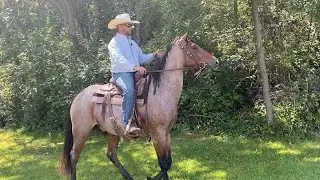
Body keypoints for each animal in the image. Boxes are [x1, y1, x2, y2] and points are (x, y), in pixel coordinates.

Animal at [58, 33, 218, 179]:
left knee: (111, 154)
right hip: (81, 132)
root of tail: (77, 97)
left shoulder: (166, 133)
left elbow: (168, 162)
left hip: (110, 132)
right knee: (74, 156)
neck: (161, 92)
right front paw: (151, 177)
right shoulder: (157, 134)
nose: (215, 61)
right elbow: (163, 163)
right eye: (194, 47)